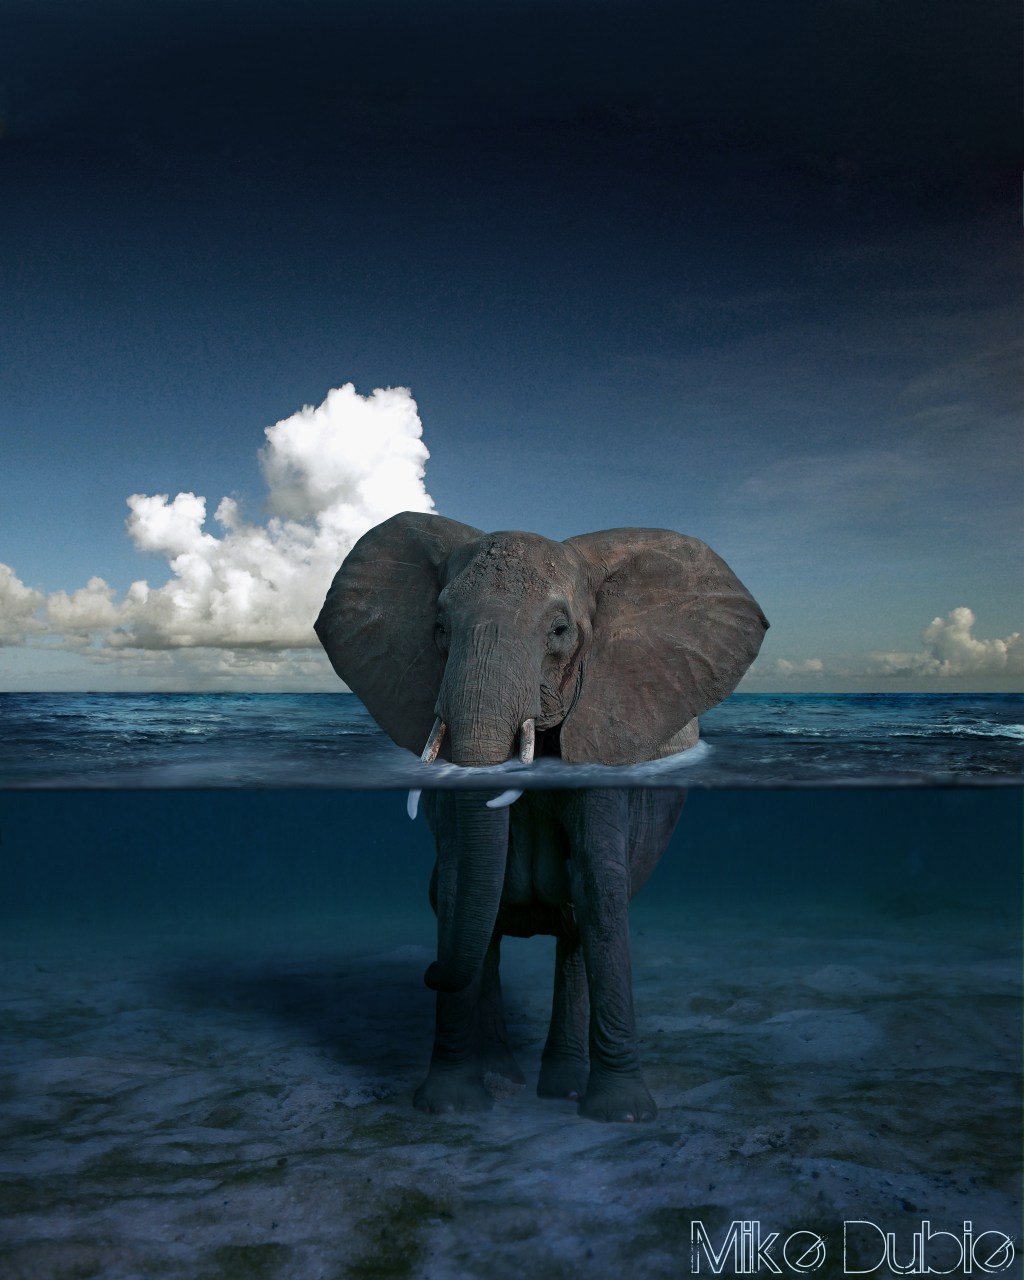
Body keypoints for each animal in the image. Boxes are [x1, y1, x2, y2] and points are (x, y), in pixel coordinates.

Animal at [314, 512, 767, 1122]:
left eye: (559, 631)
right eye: (439, 627)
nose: (428, 973)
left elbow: (599, 885)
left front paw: (623, 1115)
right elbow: (456, 888)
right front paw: (451, 1106)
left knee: (575, 928)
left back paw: (564, 1089)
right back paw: (504, 1080)